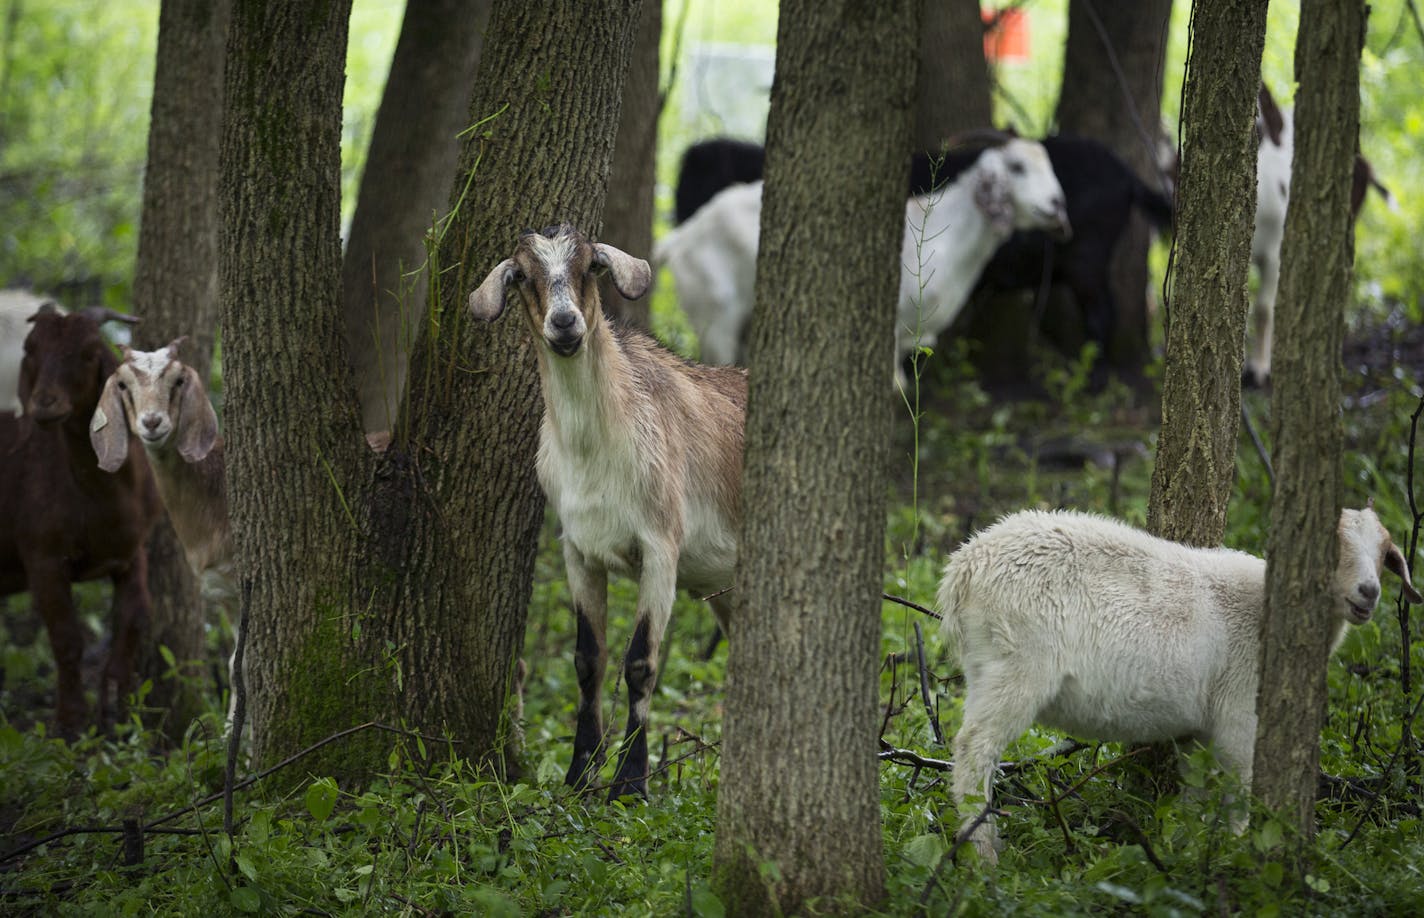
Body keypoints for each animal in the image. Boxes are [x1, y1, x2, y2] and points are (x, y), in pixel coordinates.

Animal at [0, 304, 161, 734]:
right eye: (31, 348)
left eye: (88, 352)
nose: (44, 403)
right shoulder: (43, 559)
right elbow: (67, 641)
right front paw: (70, 726)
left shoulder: (133, 553)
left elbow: (132, 623)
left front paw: (119, 718)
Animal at [467, 224, 746, 797]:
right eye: (521, 275)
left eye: (590, 266)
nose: (564, 323)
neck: (599, 445)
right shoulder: (579, 551)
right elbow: (587, 659)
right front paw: (580, 773)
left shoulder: (660, 548)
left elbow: (639, 662)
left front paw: (631, 783)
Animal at [939, 503, 1418, 865]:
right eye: (1333, 544)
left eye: (1384, 552)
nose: (1369, 592)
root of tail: (963, 568)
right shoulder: (1240, 713)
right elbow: (1240, 787)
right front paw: (1240, 847)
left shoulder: (1197, 730)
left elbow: (1194, 792)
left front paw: (1186, 848)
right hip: (1019, 665)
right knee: (975, 748)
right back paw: (982, 855)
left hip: (984, 668)